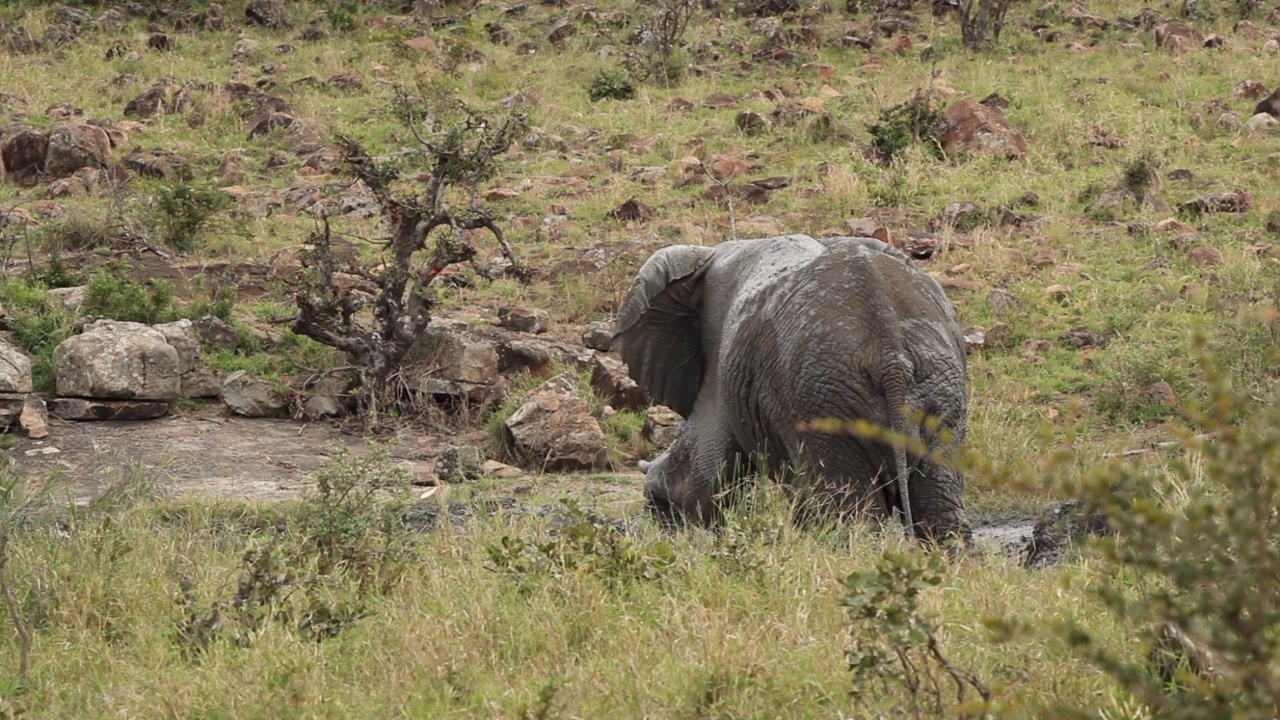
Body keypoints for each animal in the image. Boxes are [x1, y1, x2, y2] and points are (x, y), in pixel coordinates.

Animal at [611, 233, 967, 535]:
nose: (656, 518)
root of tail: (891, 357)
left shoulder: (719, 354)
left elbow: (704, 469)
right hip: (938, 387)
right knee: (940, 508)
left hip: (823, 401)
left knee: (852, 515)